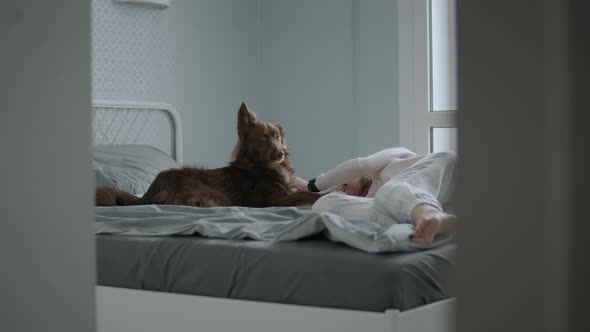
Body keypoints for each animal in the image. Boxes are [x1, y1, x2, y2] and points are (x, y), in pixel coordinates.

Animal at [96, 102, 324, 208]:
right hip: (214, 196)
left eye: (277, 136)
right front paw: (320, 197)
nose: (280, 154)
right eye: (262, 138)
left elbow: (300, 191)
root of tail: (148, 194)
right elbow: (302, 195)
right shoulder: (265, 201)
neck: (260, 167)